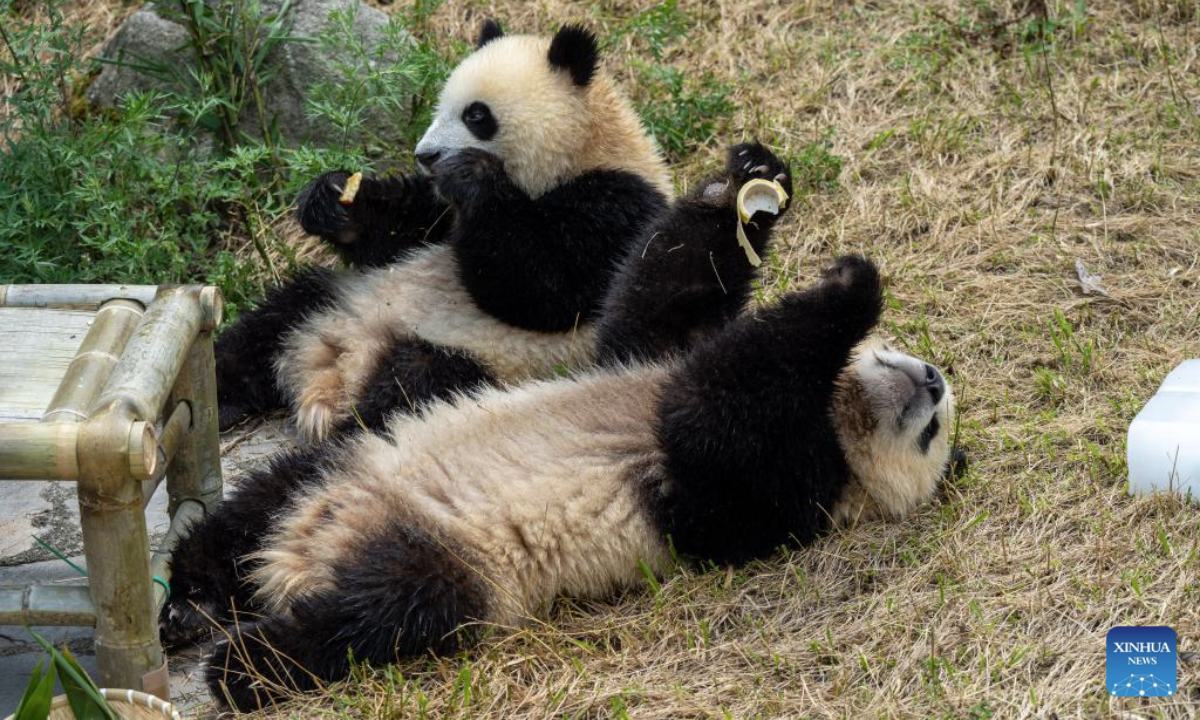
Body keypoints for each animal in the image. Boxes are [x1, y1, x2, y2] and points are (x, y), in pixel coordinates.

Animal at [200, 250, 960, 709]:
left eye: (930, 434)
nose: (931, 379)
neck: (840, 423)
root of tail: (305, 554)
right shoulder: (635, 357)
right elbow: (642, 311)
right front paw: (835, 271)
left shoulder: (764, 501)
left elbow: (708, 421)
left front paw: (846, 291)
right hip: (354, 459)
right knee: (249, 509)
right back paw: (194, 593)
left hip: (445, 560)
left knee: (380, 613)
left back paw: (241, 666)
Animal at [213, 19, 673, 442]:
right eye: (441, 106)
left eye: (476, 115)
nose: (426, 155)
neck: (585, 150)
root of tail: (334, 368)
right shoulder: (438, 213)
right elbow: (398, 232)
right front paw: (332, 198)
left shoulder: (620, 210)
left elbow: (544, 292)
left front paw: (473, 176)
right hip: (340, 297)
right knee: (271, 320)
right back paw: (220, 399)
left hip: (478, 360)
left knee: (405, 393)